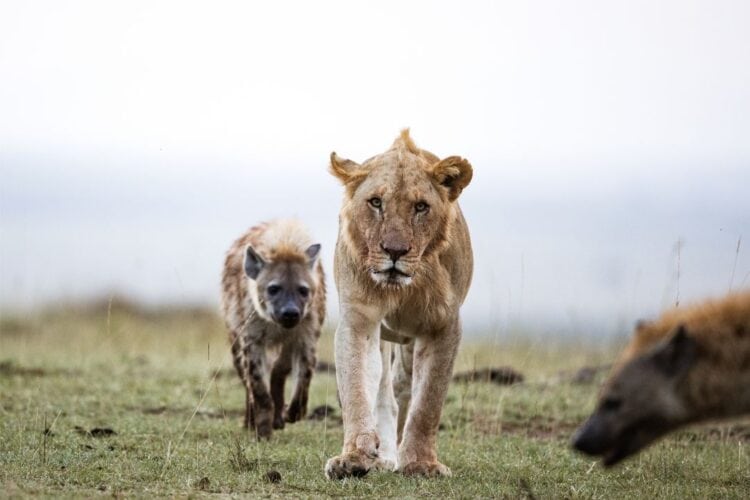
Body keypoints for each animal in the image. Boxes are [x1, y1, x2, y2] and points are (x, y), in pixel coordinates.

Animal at [324, 130, 474, 479]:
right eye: (376, 202)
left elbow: (427, 402)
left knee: (404, 386)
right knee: (383, 392)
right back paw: (382, 456)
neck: (401, 290)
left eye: (420, 207)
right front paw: (353, 457)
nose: (394, 251)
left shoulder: (444, 325)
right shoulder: (359, 320)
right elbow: (357, 390)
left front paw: (421, 464)